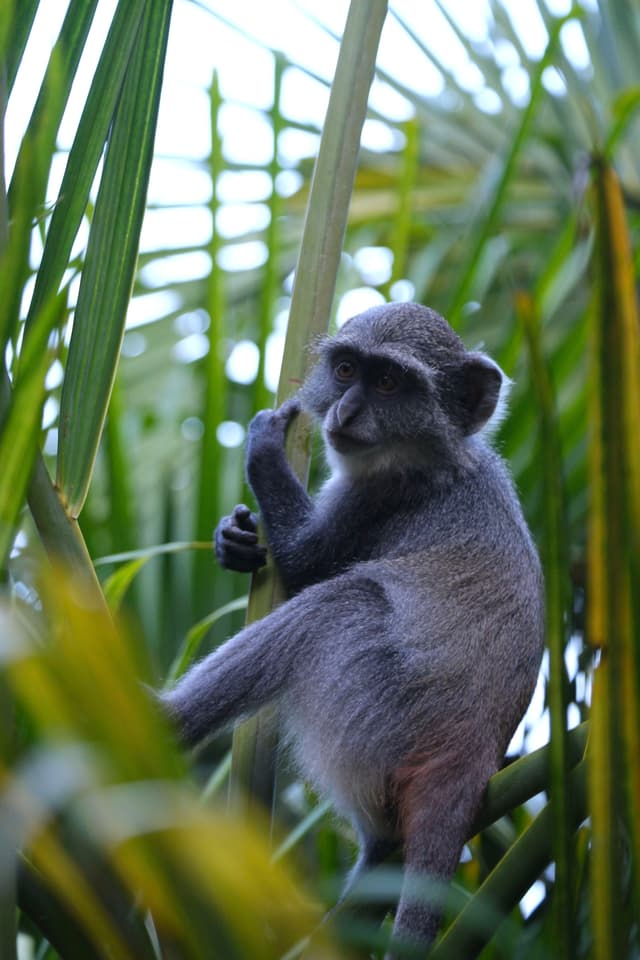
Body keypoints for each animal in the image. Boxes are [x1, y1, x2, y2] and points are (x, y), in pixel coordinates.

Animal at [161, 303, 544, 957]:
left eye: (387, 382)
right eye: (345, 370)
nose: (344, 411)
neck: (444, 455)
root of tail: (469, 760)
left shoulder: (377, 494)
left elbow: (306, 563)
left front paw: (264, 447)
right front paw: (234, 540)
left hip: (376, 712)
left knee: (339, 604)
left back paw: (164, 719)